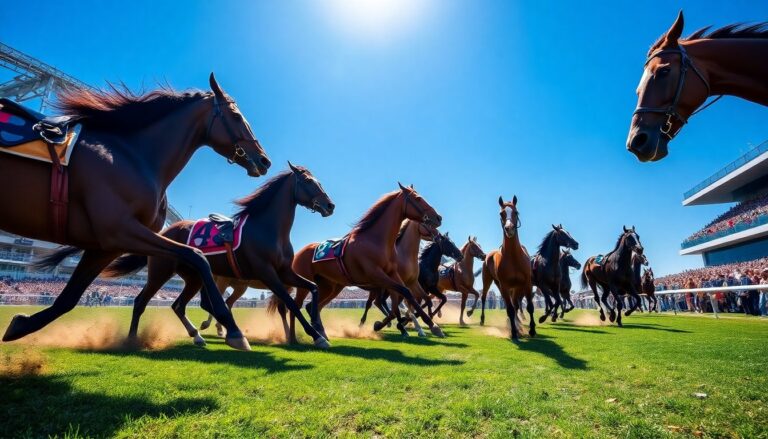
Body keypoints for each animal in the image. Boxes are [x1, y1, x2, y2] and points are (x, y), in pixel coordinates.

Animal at [2, 75, 270, 350]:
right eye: (236, 116)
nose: (264, 160)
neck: (134, 156)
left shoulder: (107, 246)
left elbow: (68, 299)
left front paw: (20, 325)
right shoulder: (120, 230)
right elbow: (197, 256)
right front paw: (232, 328)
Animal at [102, 164, 335, 348]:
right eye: (308, 181)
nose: (330, 205)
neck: (268, 229)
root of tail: (163, 233)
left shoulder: (285, 272)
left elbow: (313, 288)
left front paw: (318, 328)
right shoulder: (267, 272)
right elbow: (290, 302)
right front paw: (317, 335)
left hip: (194, 277)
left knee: (180, 304)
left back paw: (199, 335)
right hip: (161, 271)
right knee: (141, 301)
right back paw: (132, 340)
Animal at [271, 183, 446, 343]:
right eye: (418, 198)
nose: (438, 217)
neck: (376, 240)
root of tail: (299, 253)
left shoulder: (393, 274)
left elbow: (407, 296)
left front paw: (431, 325)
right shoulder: (376, 275)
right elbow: (402, 295)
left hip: (330, 286)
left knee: (313, 306)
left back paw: (322, 334)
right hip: (305, 283)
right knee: (295, 306)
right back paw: (294, 338)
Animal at [480, 196, 535, 340]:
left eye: (516, 212)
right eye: (501, 213)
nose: (509, 228)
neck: (513, 257)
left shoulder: (526, 283)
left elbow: (529, 307)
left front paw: (531, 330)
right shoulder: (504, 285)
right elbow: (509, 309)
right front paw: (514, 332)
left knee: (514, 304)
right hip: (488, 280)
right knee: (484, 298)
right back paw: (483, 320)